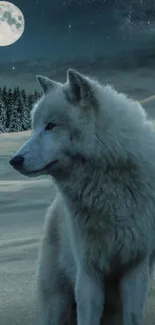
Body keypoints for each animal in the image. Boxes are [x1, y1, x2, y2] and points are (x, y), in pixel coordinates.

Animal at [10, 69, 155, 324]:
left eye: (51, 126)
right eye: (34, 126)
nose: (14, 160)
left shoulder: (136, 267)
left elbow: (134, 316)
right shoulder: (88, 271)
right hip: (57, 304)